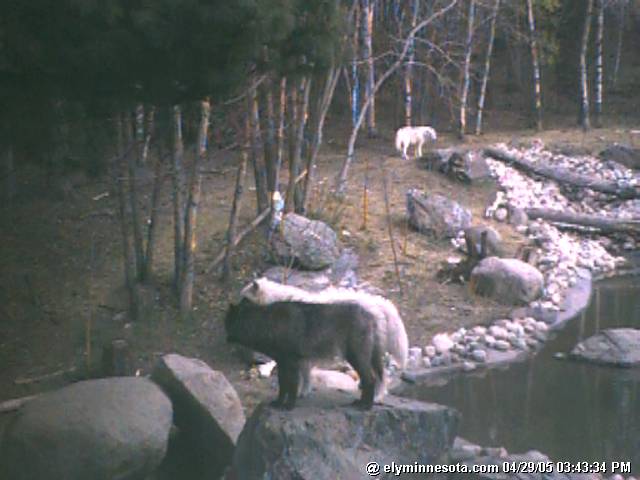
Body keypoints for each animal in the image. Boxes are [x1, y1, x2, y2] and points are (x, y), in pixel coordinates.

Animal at [225, 300, 384, 408]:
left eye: (227, 324)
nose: (224, 338)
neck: (267, 323)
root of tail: (370, 316)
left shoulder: (292, 363)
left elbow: (292, 385)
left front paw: (288, 406)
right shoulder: (282, 363)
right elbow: (283, 385)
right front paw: (278, 403)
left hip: (355, 358)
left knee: (370, 379)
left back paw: (365, 407)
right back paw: (361, 403)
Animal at [240, 276, 410, 400]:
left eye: (244, 299)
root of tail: (376, 302)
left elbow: (301, 376)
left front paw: (300, 393)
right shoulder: (303, 355)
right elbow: (306, 375)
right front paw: (305, 391)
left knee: (381, 375)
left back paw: (377, 396)